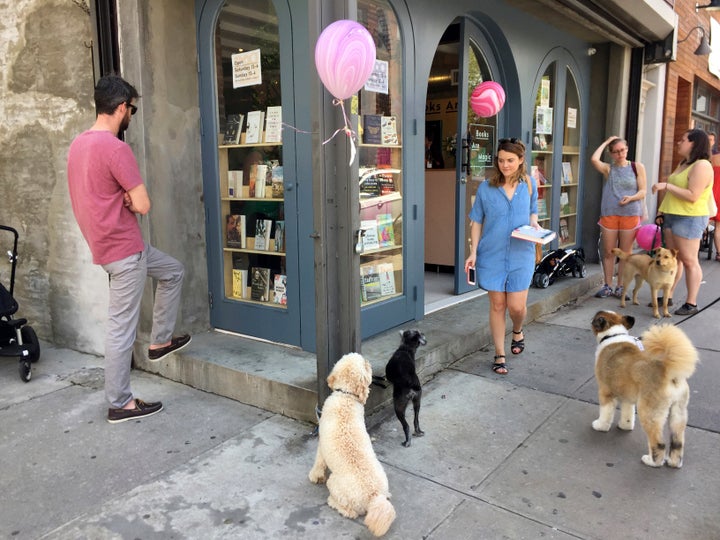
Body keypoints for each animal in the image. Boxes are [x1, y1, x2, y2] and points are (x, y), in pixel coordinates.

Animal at [308, 350, 396, 536]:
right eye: (364, 364)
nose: (369, 362)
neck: (346, 396)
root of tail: (374, 496)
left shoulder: (321, 445)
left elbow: (318, 463)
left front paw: (314, 476)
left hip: (335, 485)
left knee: (350, 512)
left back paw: (334, 503)